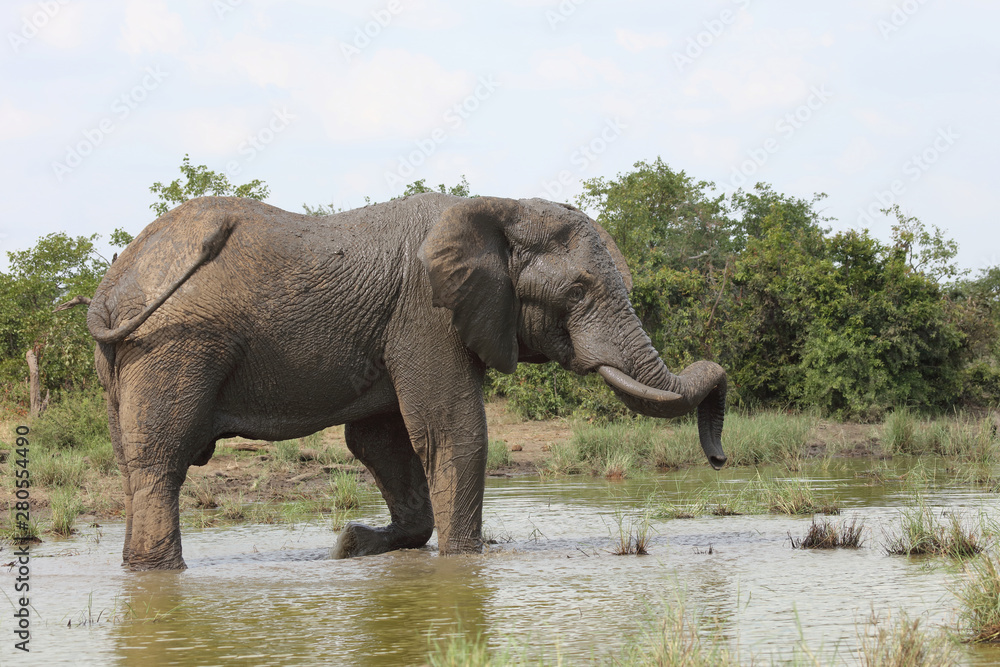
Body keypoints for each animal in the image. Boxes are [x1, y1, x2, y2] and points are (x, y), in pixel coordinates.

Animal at [87, 193, 727, 570]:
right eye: (576, 291)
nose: (720, 457)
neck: (502, 207)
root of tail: (113, 282)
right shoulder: (427, 312)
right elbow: (453, 432)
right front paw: (464, 565)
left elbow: (380, 442)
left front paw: (352, 546)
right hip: (174, 344)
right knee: (160, 459)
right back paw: (161, 573)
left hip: (125, 359)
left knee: (132, 462)